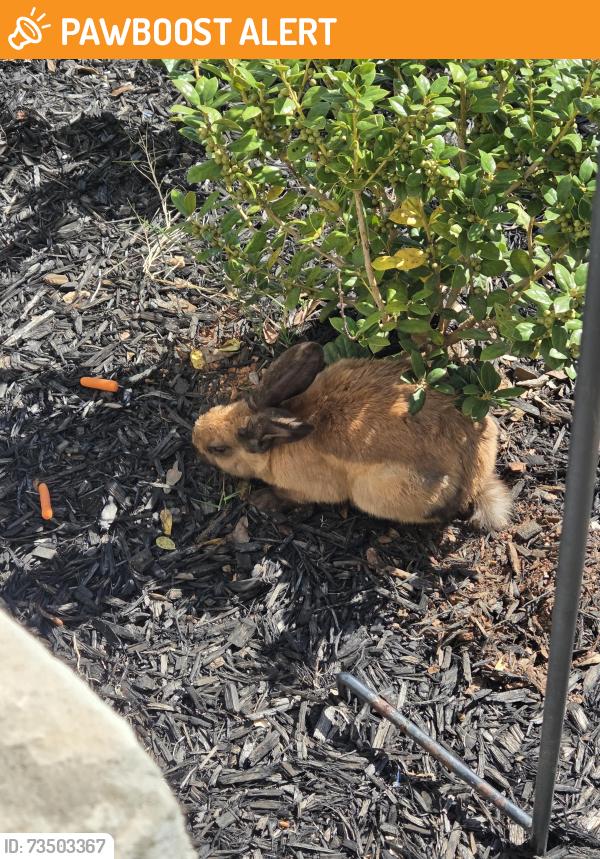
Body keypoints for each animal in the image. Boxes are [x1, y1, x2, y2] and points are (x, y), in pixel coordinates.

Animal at [192, 341, 511, 531]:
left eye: (219, 449)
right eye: (222, 406)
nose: (195, 436)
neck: (277, 447)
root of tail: (475, 482)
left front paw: (262, 501)